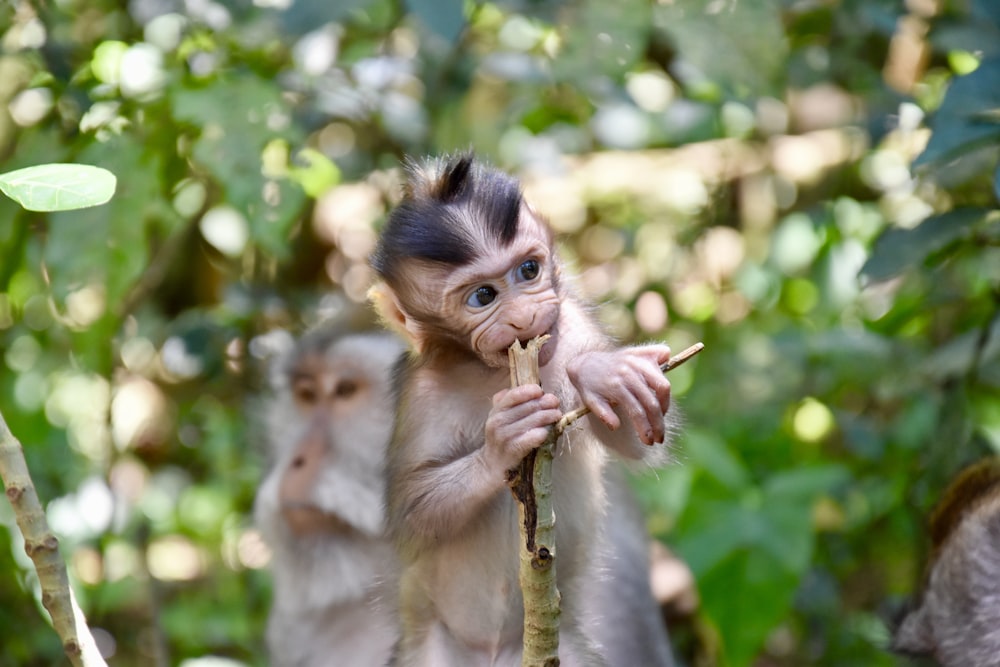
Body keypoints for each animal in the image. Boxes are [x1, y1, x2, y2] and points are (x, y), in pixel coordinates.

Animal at [372, 154, 676, 664]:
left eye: (528, 270)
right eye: (483, 296)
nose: (524, 317)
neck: (491, 373)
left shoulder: (573, 322)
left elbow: (635, 438)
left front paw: (601, 374)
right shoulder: (421, 392)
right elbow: (409, 517)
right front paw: (504, 440)